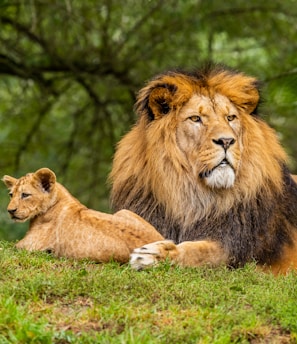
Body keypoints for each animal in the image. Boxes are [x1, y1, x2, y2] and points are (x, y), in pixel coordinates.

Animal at [109, 63, 297, 274]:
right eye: (195, 118)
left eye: (230, 117)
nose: (226, 141)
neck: (194, 197)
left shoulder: (236, 249)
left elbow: (199, 251)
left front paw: (155, 255)